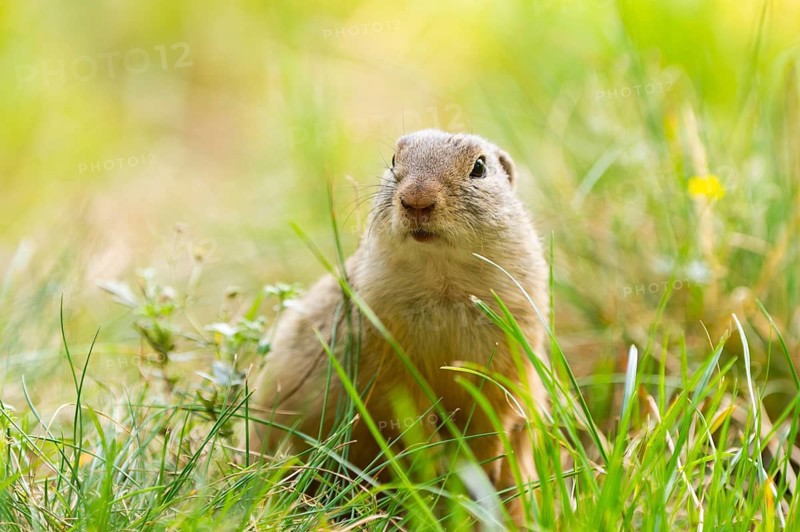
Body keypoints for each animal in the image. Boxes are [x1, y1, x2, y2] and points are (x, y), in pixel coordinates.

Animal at [249, 129, 549, 521]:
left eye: (480, 167)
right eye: (394, 160)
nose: (416, 199)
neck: (443, 282)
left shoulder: (511, 341)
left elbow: (497, 409)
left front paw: (488, 471)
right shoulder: (383, 346)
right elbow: (404, 413)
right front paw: (437, 468)